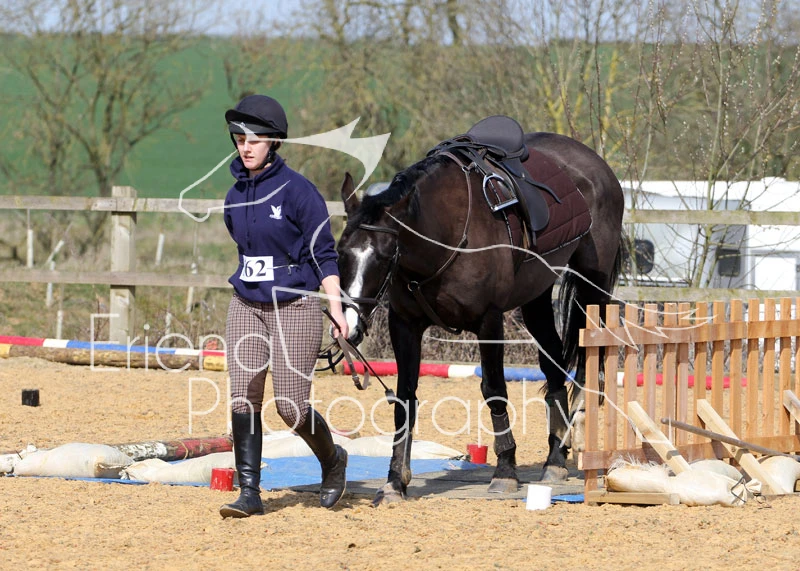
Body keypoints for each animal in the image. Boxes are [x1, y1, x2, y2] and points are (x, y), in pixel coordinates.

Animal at [335, 128, 625, 505]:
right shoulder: (405, 324)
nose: (350, 325)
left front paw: (505, 472)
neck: (442, 239)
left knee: (590, 365)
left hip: (594, 289)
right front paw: (395, 481)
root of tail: (595, 163)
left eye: (385, 255)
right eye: (340, 252)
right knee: (554, 367)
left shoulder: (489, 321)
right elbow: (405, 398)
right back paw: (555, 460)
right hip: (536, 297)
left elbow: (494, 390)